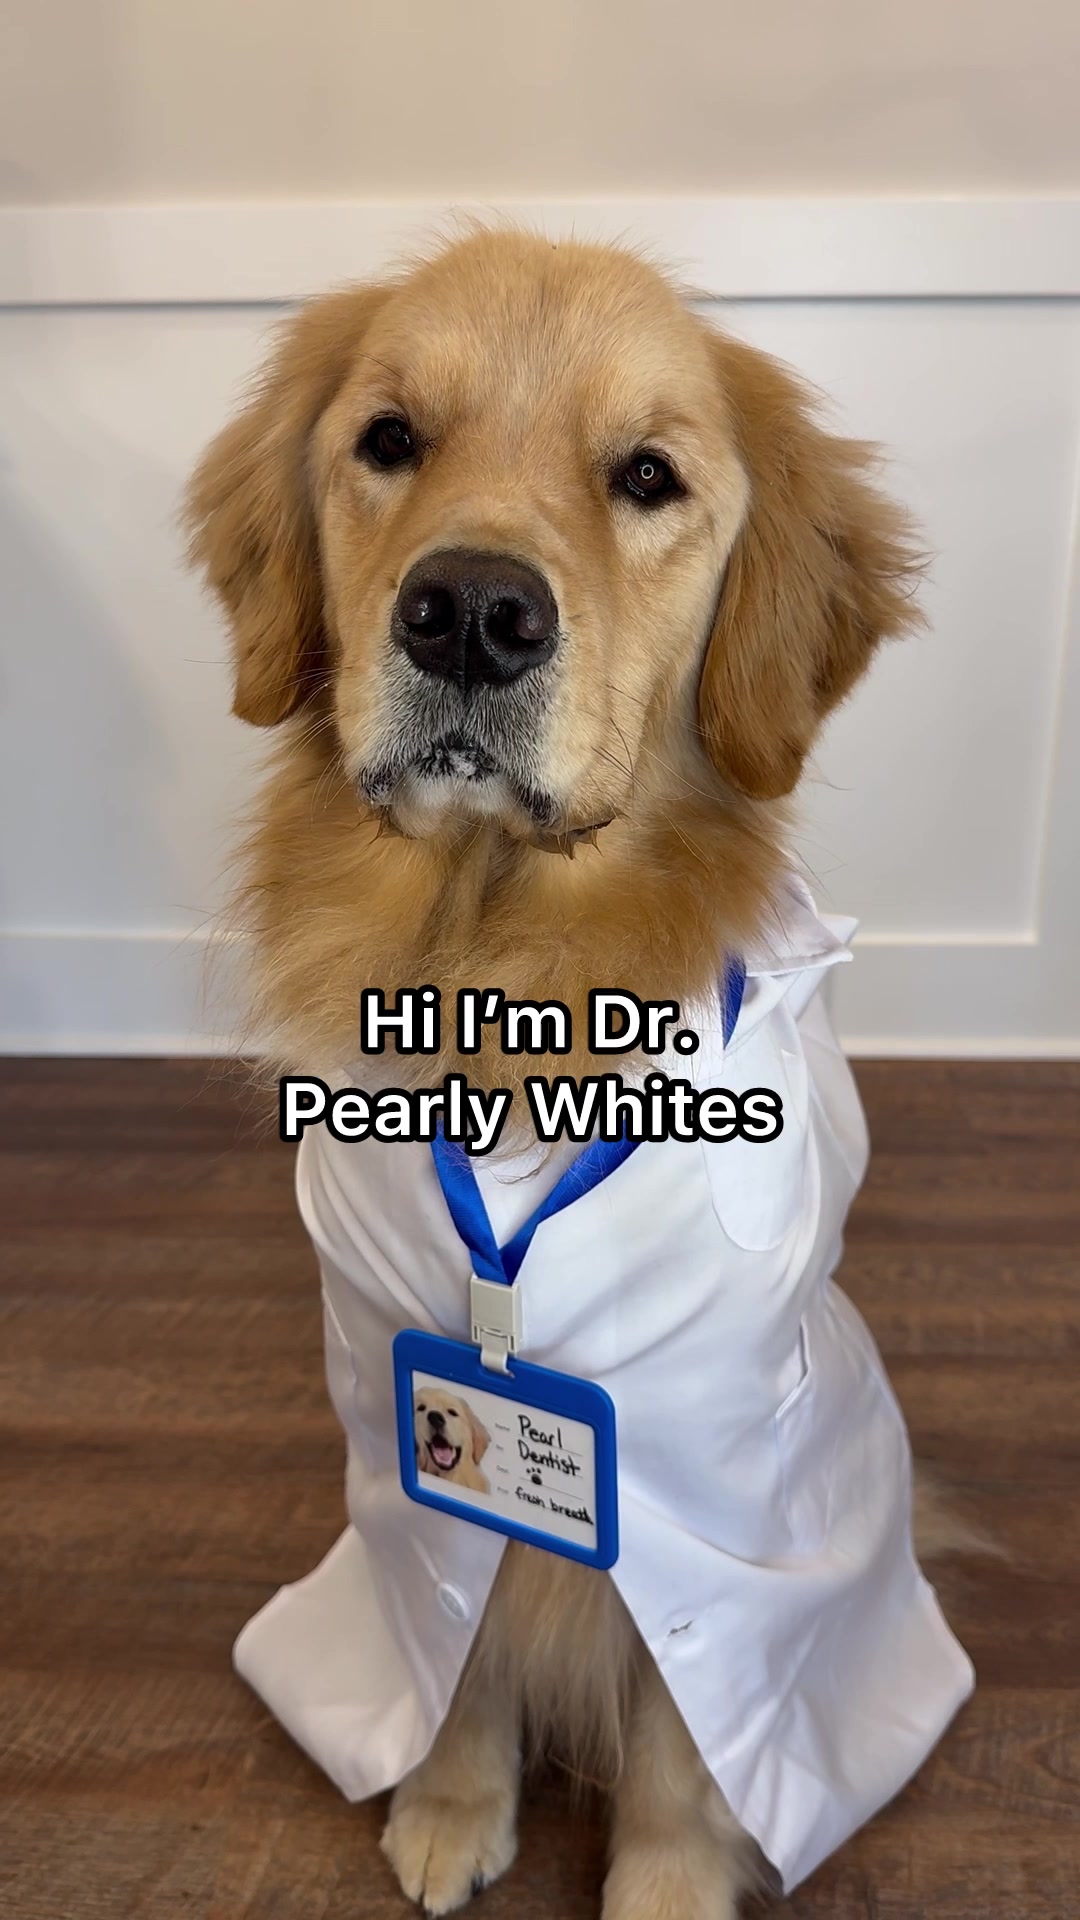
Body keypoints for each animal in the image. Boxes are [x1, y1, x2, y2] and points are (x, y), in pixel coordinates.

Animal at [188, 228, 970, 1919]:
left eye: (647, 475)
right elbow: (460, 1634)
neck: (505, 984)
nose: (472, 612)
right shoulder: (399, 1422)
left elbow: (690, 1719)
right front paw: (449, 1804)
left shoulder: (708, 1472)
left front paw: (668, 1883)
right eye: (390, 439)